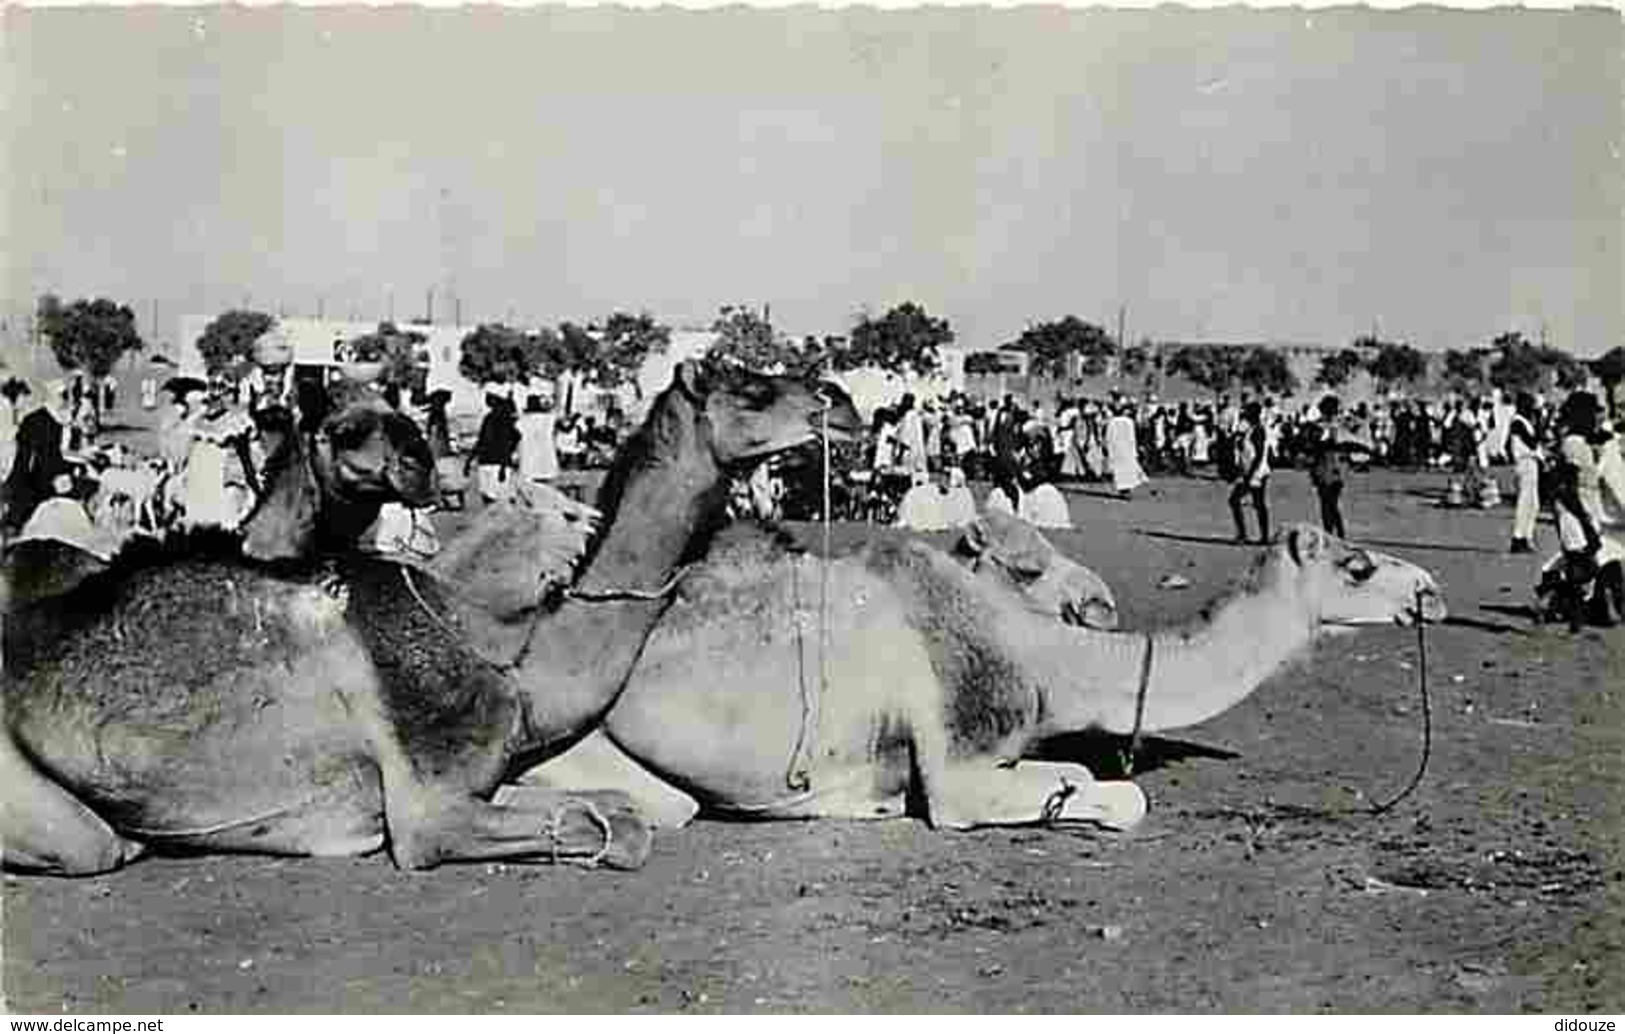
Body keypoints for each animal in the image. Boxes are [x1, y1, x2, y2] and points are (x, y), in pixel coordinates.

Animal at [507, 523, 1449, 832]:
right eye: (1358, 566)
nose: (1431, 592)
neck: (1043, 653)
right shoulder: (958, 758)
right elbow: (1122, 799)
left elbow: (1073, 772)